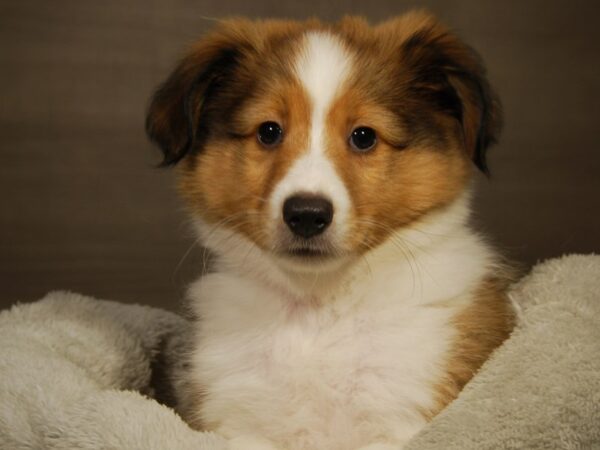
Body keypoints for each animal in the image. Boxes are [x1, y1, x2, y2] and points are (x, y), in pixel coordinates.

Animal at [145, 11, 516, 450]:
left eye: (364, 136)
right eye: (269, 131)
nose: (306, 214)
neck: (320, 308)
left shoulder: (403, 415)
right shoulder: (239, 423)